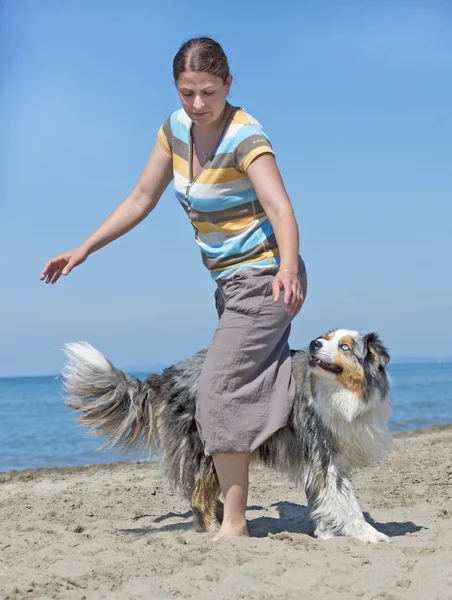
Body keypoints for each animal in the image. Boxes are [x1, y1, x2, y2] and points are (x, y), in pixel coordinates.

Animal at [62, 328, 392, 544]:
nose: (314, 343)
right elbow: (347, 502)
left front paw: (325, 533)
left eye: (345, 347)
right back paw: (213, 533)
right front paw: (369, 534)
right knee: (198, 497)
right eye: (327, 337)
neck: (339, 393)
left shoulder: (319, 457)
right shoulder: (324, 456)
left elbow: (324, 499)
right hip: (208, 447)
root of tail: (167, 375)